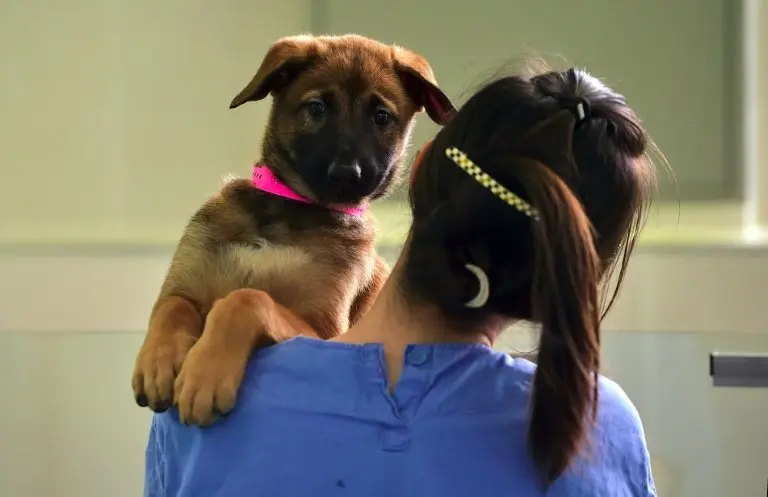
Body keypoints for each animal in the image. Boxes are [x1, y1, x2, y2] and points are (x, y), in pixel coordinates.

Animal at [130, 34, 456, 426]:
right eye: (317, 108)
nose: (347, 175)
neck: (289, 212)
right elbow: (173, 309)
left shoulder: (325, 332)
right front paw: (158, 362)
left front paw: (204, 374)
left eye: (381, 117)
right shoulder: (184, 284)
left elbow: (248, 299)